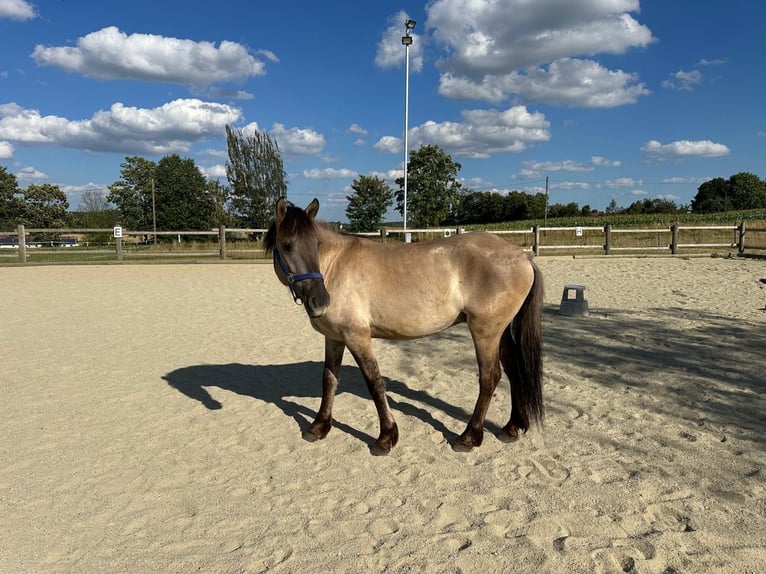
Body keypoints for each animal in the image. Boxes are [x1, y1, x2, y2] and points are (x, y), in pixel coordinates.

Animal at [266, 200, 544, 456]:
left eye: (316, 245)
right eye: (287, 245)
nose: (321, 302)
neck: (335, 265)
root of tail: (523, 256)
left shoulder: (357, 336)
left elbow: (374, 381)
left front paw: (386, 437)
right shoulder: (334, 338)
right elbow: (329, 380)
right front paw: (319, 426)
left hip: (485, 332)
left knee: (490, 378)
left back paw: (469, 436)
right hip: (501, 333)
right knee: (514, 371)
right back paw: (512, 428)